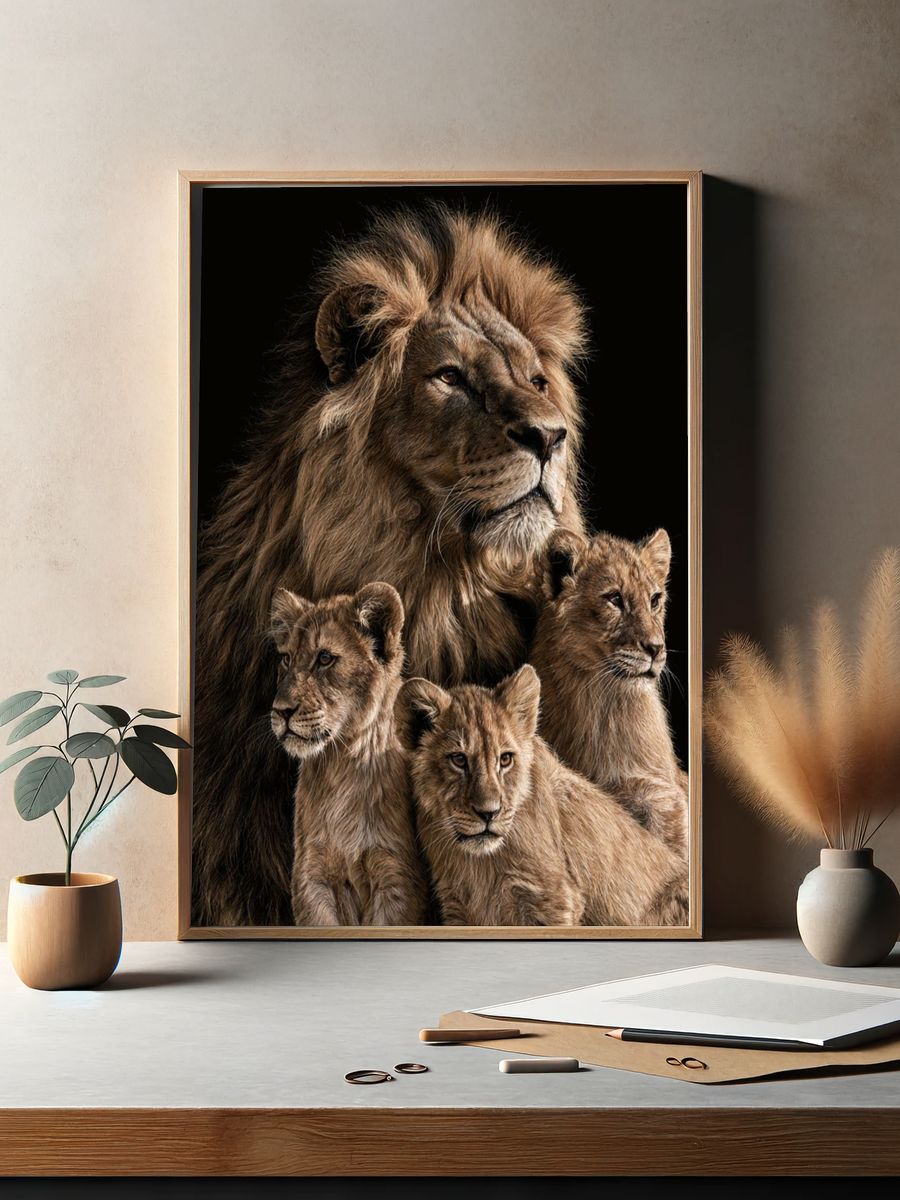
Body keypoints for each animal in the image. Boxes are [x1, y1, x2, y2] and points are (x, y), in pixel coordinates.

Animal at [269, 582, 427, 927]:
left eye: (325, 658)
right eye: (286, 659)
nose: (281, 711)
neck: (341, 765)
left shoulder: (397, 877)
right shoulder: (312, 876)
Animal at [395, 666, 688, 927]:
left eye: (505, 759)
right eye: (458, 759)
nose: (489, 813)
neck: (480, 863)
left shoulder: (555, 897)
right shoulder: (457, 905)